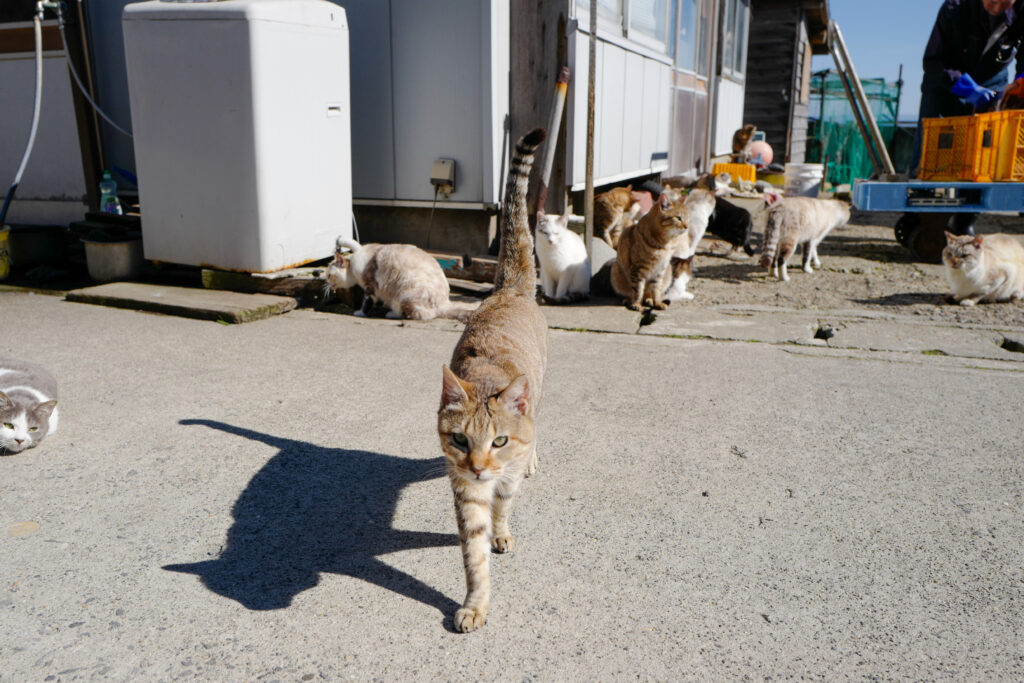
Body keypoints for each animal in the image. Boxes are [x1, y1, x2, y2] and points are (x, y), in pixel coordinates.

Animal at [323, 237, 471, 323]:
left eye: (329, 275)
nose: (326, 284)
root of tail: (445, 301)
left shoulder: (370, 287)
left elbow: (366, 302)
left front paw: (360, 313)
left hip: (404, 293)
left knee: (425, 315)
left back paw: (391, 315)